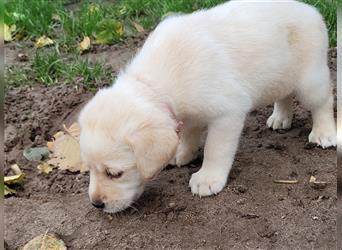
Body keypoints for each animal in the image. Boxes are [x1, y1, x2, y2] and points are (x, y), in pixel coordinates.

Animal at [79, 0, 336, 214]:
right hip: (280, 77)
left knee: (324, 102)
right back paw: (280, 118)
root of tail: (310, 9)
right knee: (284, 95)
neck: (154, 84)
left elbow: (215, 149)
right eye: (89, 168)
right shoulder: (187, 113)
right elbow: (188, 133)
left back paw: (324, 133)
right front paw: (182, 153)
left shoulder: (227, 113)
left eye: (115, 173)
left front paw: (208, 178)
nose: (96, 204)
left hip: (310, 80)